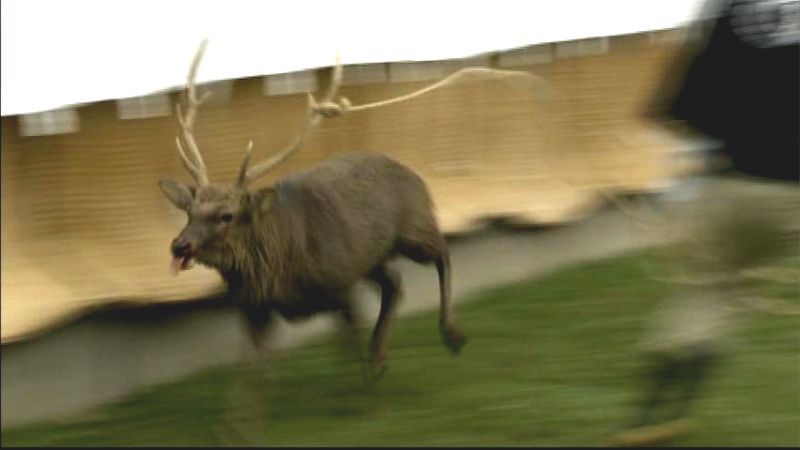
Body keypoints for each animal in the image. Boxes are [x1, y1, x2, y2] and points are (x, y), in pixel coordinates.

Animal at [159, 42, 466, 378]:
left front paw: (363, 387)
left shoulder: (340, 284)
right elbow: (250, 375)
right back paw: (380, 355)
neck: (279, 263)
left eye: (227, 215)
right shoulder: (254, 309)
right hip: (372, 257)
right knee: (394, 284)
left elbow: (351, 352)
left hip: (412, 227)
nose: (179, 245)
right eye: (189, 211)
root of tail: (414, 174)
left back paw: (452, 334)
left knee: (441, 250)